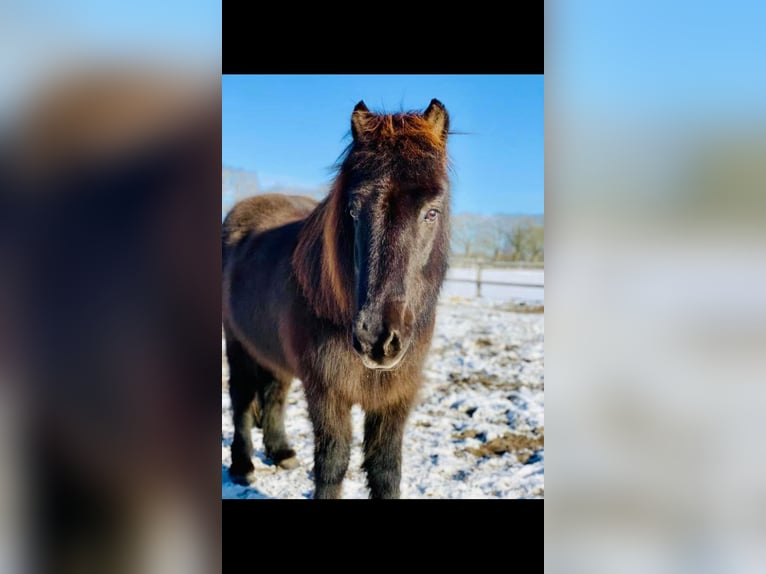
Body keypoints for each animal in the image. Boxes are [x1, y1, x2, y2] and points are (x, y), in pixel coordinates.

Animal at [222, 98, 450, 500]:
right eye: (352, 210)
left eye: (431, 212)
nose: (377, 339)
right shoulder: (328, 393)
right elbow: (332, 464)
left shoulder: (396, 396)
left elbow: (385, 469)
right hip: (238, 346)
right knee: (241, 400)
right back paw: (242, 466)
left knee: (274, 394)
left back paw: (281, 452)